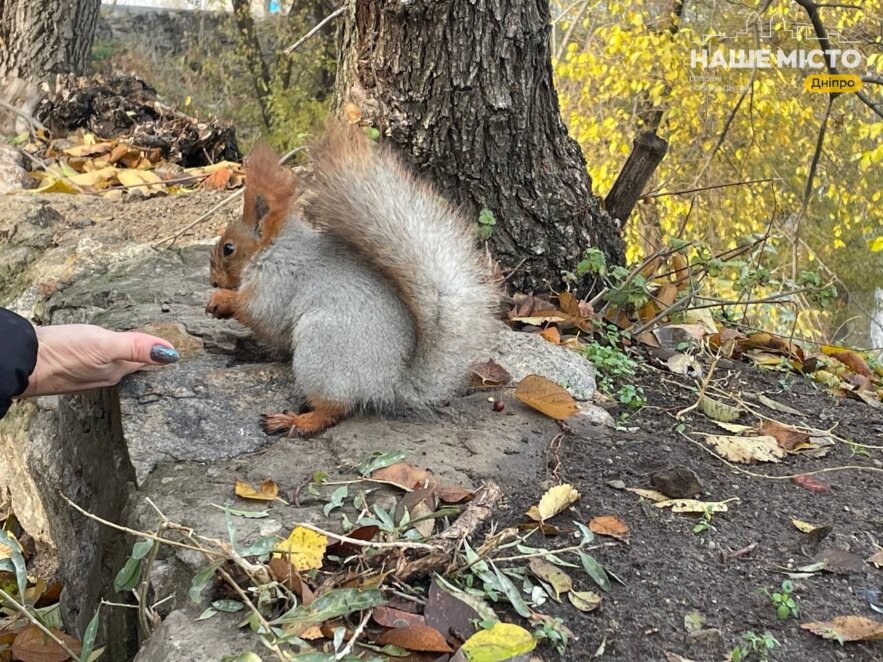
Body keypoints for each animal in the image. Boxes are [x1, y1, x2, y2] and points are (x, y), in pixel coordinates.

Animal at [205, 125, 498, 440]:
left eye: (228, 249)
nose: (213, 281)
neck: (272, 249)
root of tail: (388, 384)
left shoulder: (279, 279)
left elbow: (261, 312)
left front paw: (221, 301)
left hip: (320, 350)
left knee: (335, 408)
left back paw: (298, 421)